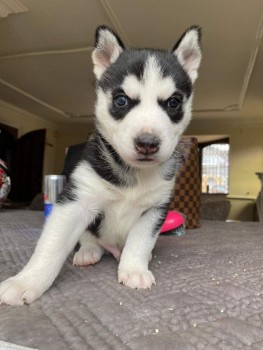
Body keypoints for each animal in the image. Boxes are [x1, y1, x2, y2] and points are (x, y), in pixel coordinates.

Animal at [0, 25, 202, 304]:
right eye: (121, 100)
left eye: (173, 102)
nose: (147, 143)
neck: (134, 173)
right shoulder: (75, 202)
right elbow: (51, 246)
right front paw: (26, 281)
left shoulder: (154, 209)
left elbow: (140, 242)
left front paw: (134, 269)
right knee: (88, 238)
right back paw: (88, 251)